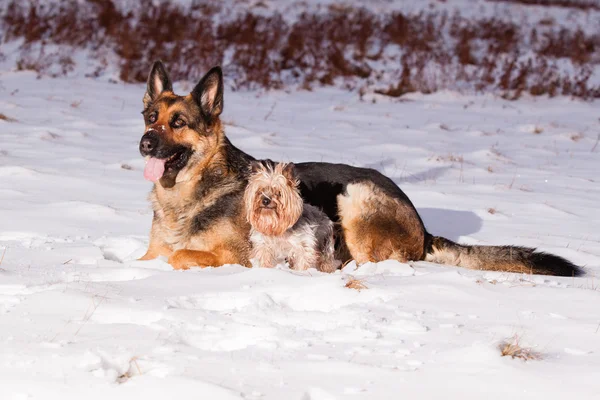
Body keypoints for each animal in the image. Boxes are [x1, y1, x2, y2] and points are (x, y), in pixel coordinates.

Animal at [139, 61, 580, 278]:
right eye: (150, 117)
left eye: (179, 122)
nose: (144, 143)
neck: (187, 194)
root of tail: (422, 226)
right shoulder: (149, 251)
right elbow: (153, 257)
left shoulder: (234, 255)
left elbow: (179, 256)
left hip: (354, 197)